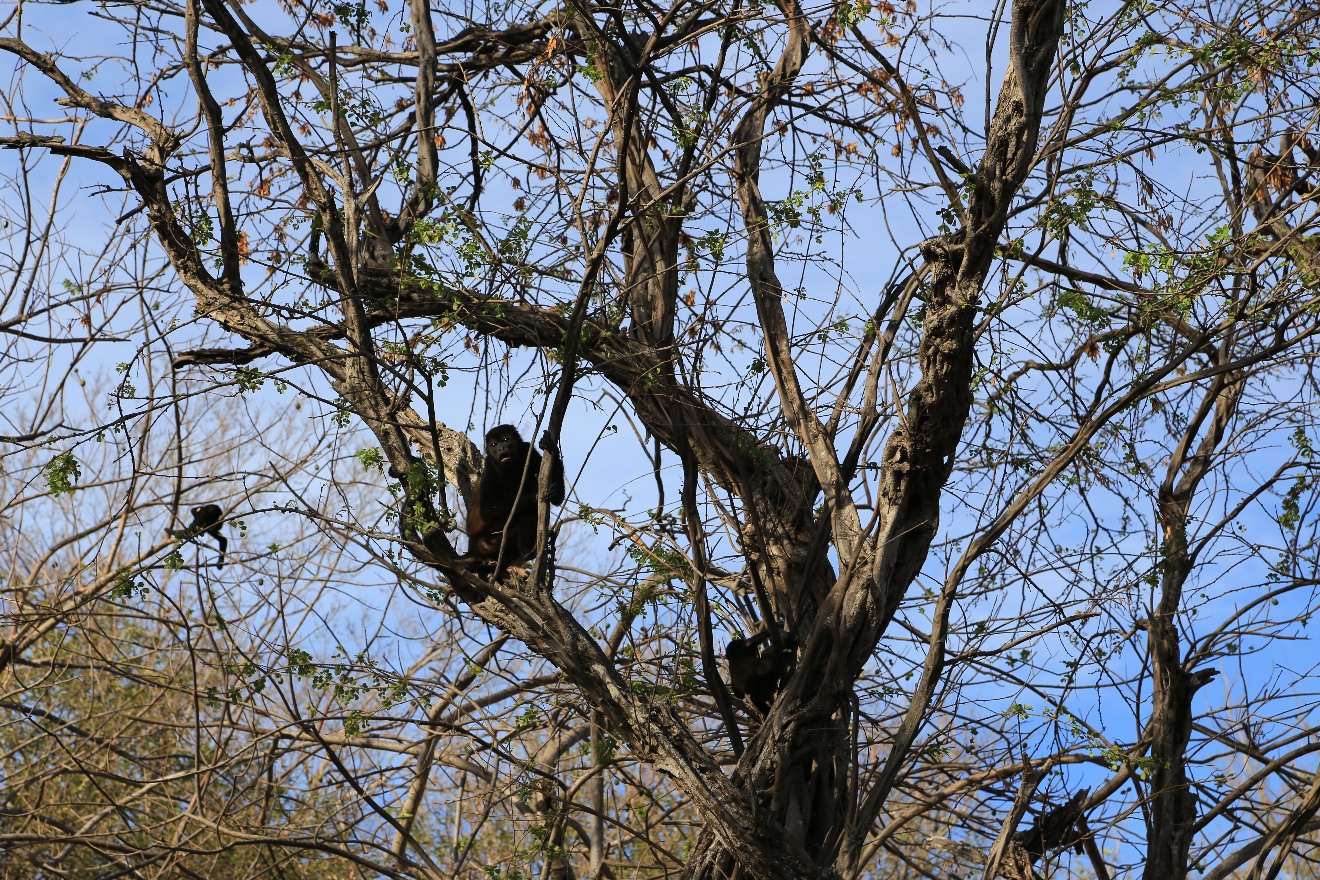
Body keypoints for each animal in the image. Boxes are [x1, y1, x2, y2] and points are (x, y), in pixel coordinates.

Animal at [459, 425, 565, 572]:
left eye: (505, 440)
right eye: (493, 445)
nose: (501, 448)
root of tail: (472, 550)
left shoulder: (528, 450)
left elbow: (557, 498)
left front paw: (547, 443)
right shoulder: (490, 467)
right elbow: (487, 510)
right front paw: (536, 494)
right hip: (489, 540)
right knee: (528, 510)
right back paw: (528, 551)